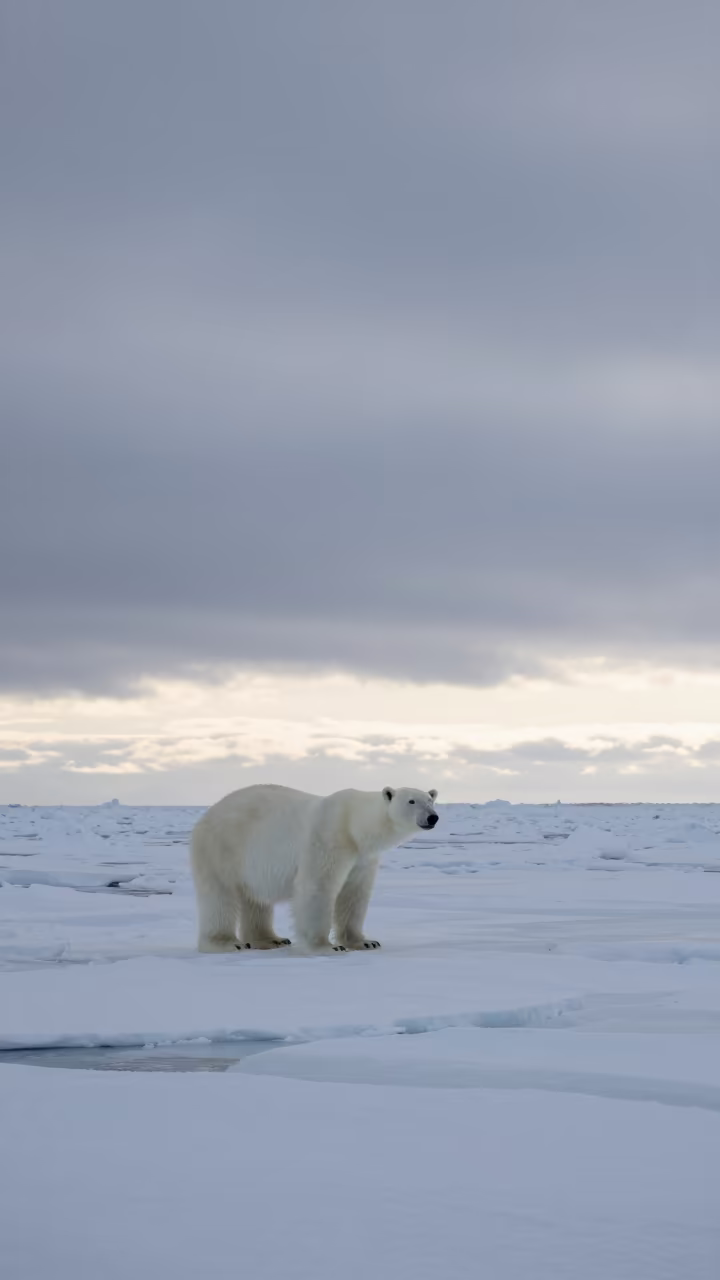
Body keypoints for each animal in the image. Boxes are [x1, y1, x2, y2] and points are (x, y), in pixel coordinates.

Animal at [191, 783, 439, 954]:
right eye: (411, 801)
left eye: (430, 799)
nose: (433, 817)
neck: (353, 824)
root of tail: (207, 814)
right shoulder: (328, 840)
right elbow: (317, 888)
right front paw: (327, 947)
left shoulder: (362, 858)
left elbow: (354, 895)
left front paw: (365, 942)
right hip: (222, 848)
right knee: (220, 897)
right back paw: (227, 943)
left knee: (255, 900)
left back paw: (271, 939)